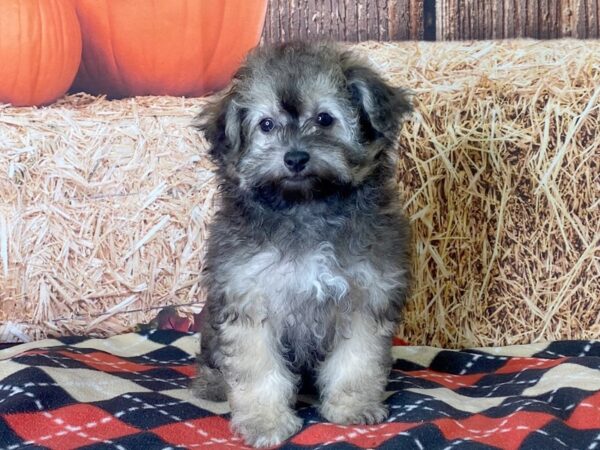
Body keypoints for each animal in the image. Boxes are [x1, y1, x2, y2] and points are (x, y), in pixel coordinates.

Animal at [192, 41, 412, 446]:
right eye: (266, 125)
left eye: (324, 119)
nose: (295, 157)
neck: (305, 206)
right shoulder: (250, 298)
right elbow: (257, 369)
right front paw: (264, 421)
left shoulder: (366, 295)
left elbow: (358, 360)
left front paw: (353, 407)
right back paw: (212, 384)